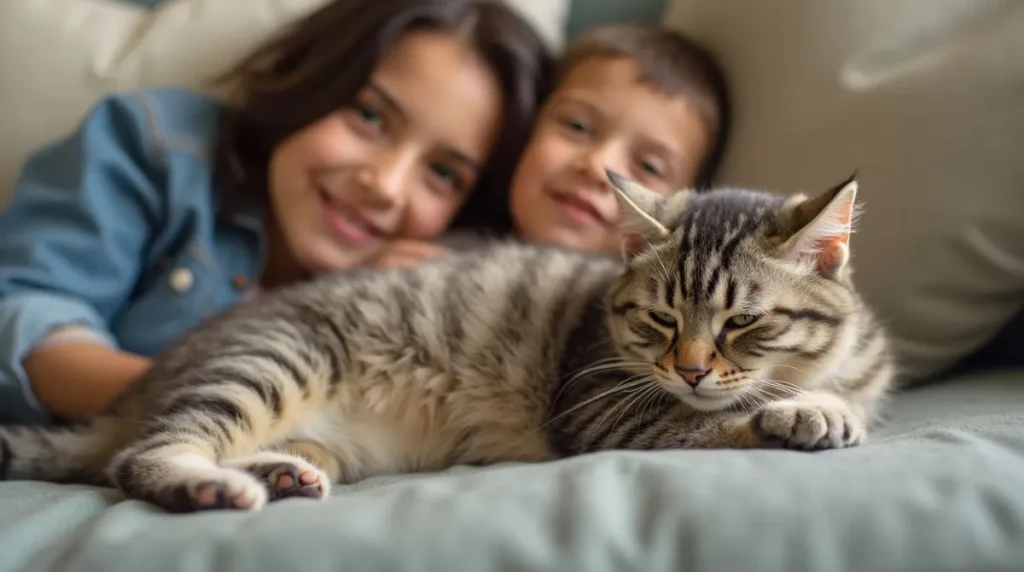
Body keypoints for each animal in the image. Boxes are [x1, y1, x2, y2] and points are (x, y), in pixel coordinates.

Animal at [0, 170, 892, 515]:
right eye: (661, 322)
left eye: (744, 322)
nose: (693, 367)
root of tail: (139, 390)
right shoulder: (604, 408)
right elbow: (707, 421)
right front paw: (804, 413)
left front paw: (819, 401)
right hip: (270, 362)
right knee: (144, 456)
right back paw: (212, 485)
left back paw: (277, 472)